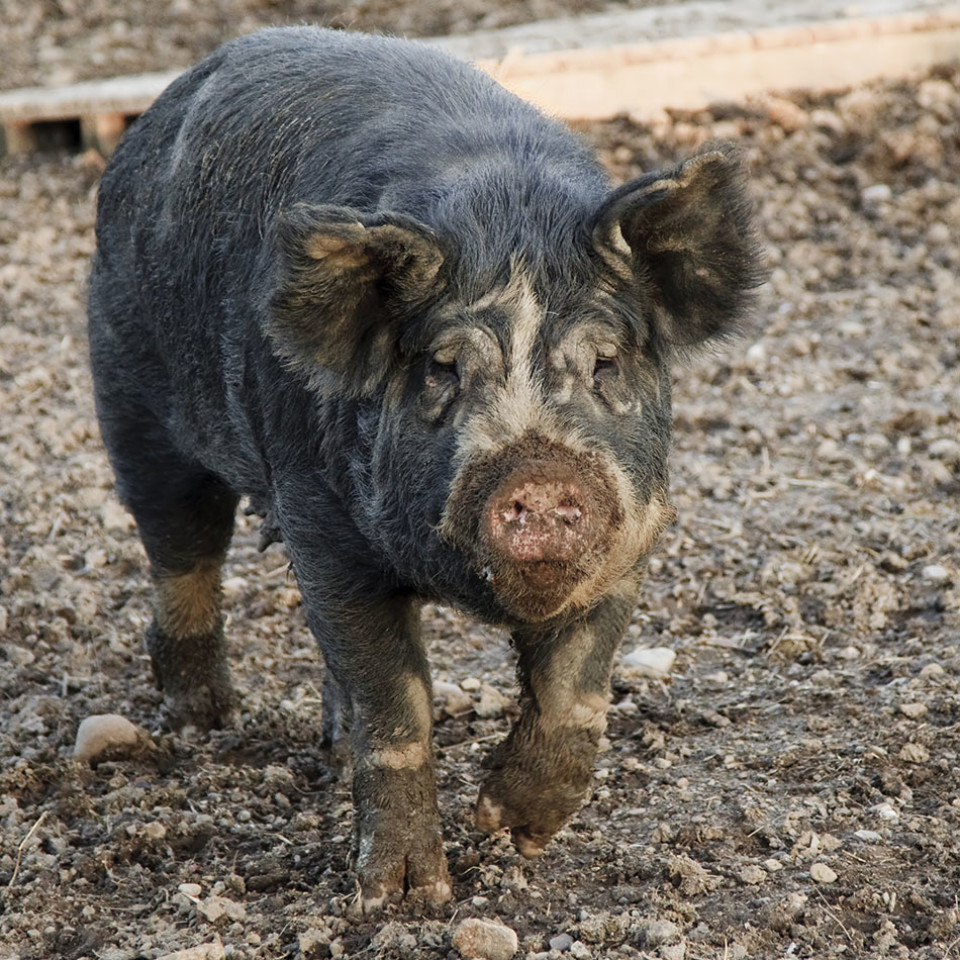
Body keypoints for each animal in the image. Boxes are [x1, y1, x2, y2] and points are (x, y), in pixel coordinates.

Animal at [90, 26, 764, 912]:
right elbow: (396, 704)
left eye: (605, 362)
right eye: (445, 367)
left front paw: (511, 828)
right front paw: (405, 899)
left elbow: (576, 689)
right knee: (181, 550)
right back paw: (205, 718)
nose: (539, 474)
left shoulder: (633, 531)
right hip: (130, 395)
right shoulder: (322, 526)